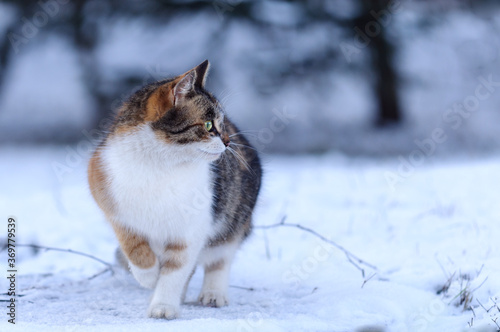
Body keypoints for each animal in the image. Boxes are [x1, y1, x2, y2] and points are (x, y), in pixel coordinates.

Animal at [87, 59, 262, 320]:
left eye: (221, 124)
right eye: (209, 125)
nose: (228, 141)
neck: (160, 164)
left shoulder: (189, 231)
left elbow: (176, 270)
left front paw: (164, 305)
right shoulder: (113, 204)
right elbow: (133, 245)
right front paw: (148, 275)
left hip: (234, 218)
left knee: (220, 258)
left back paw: (213, 293)